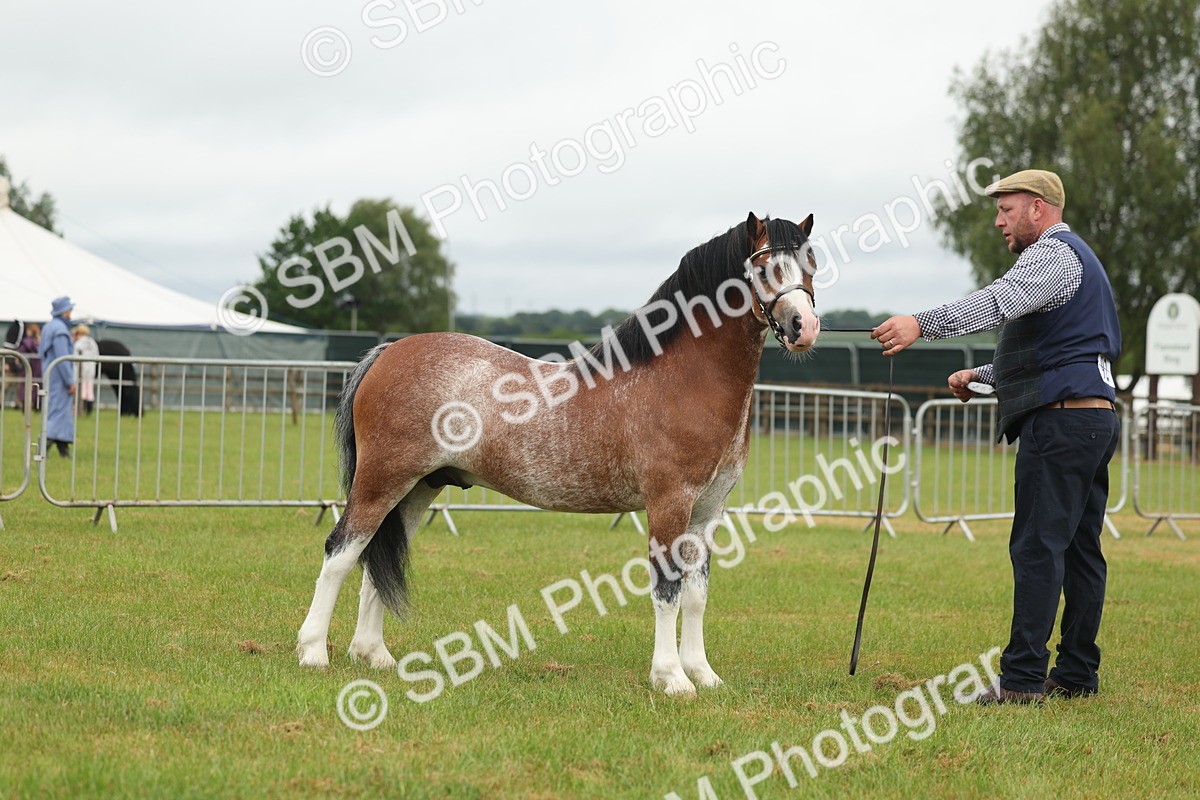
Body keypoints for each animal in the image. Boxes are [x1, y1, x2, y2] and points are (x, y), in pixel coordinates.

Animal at [297, 212, 822, 695]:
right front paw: (671, 678)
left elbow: (695, 595)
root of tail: (387, 352)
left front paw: (703, 675)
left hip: (417, 488)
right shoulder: (669, 504)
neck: (681, 380)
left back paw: (374, 655)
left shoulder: (708, 512)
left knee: (377, 555)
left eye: (810, 262)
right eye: (761, 266)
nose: (804, 326)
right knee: (342, 550)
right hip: (382, 479)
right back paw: (313, 652)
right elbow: (666, 590)